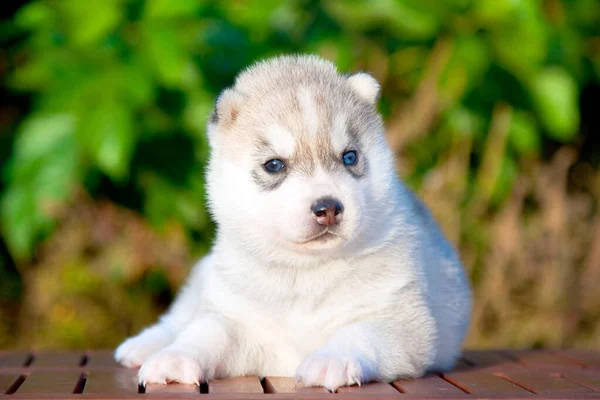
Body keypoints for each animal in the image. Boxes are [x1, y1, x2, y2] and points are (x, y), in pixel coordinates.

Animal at [115, 54, 472, 390]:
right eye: (274, 165)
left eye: (350, 157)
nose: (328, 207)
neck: (304, 273)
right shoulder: (236, 319)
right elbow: (206, 332)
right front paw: (175, 358)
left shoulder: (402, 322)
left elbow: (359, 333)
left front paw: (332, 359)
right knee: (180, 319)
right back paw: (143, 346)